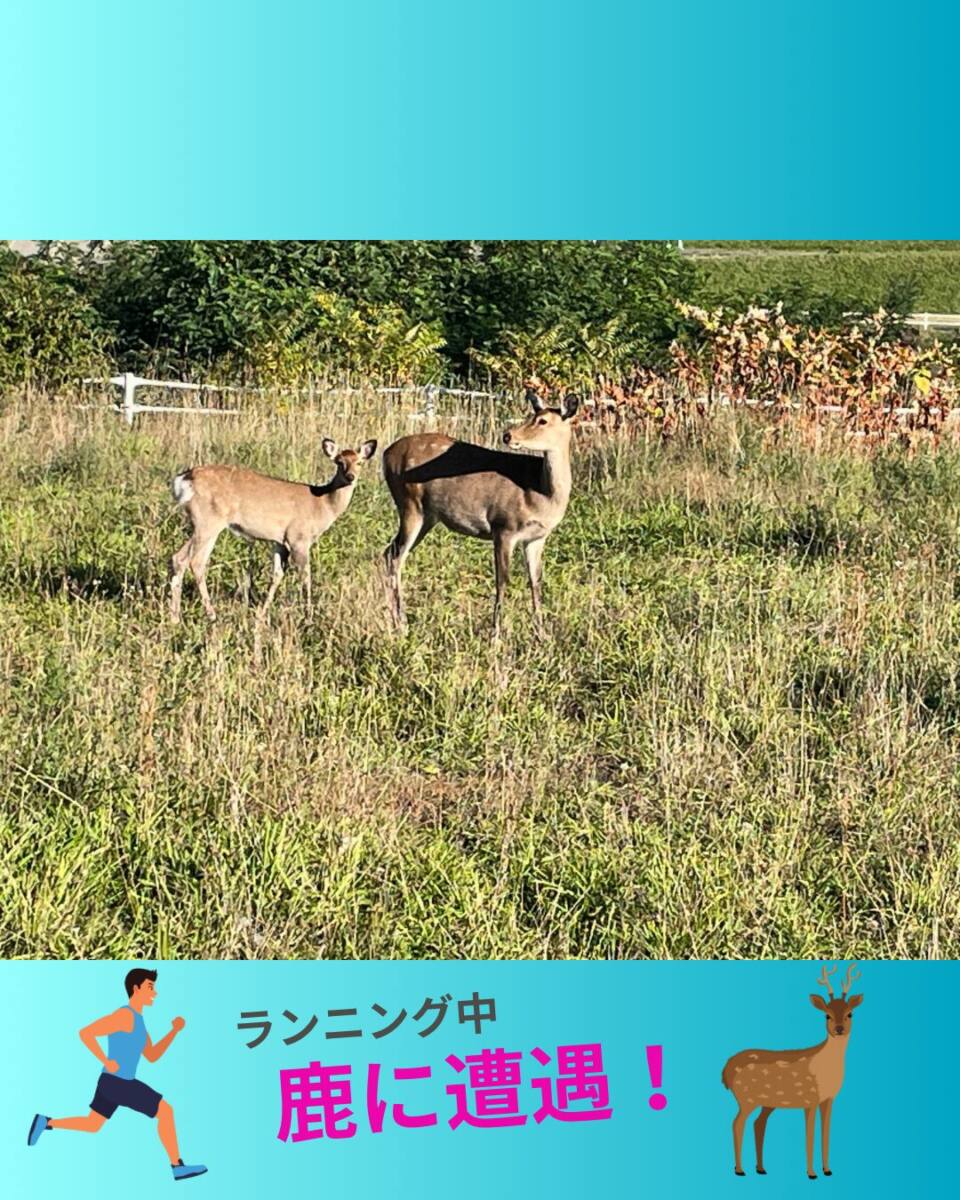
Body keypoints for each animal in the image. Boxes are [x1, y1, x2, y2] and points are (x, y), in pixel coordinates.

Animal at [168, 438, 377, 622]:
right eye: (340, 462)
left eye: (359, 462)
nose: (350, 477)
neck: (321, 505)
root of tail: (183, 480)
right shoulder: (298, 538)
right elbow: (306, 576)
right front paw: (309, 617)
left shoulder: (280, 541)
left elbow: (277, 575)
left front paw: (262, 613)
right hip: (207, 521)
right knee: (186, 559)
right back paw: (189, 617)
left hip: (207, 525)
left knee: (189, 561)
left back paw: (193, 616)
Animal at [381, 391, 579, 636]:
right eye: (531, 415)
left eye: (542, 421)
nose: (507, 435)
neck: (542, 494)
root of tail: (385, 455)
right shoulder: (503, 525)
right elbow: (502, 580)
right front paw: (496, 635)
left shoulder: (537, 537)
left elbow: (535, 581)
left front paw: (541, 635)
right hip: (410, 504)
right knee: (396, 556)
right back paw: (401, 623)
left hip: (427, 516)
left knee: (389, 552)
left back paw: (395, 619)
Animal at [722, 963, 863, 1180]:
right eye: (827, 1015)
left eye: (850, 1013)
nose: (839, 1029)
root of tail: (726, 1071)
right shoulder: (810, 1099)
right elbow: (810, 1134)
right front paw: (812, 1173)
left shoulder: (828, 1099)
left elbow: (826, 1132)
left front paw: (827, 1170)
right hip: (746, 1098)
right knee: (737, 1123)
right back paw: (740, 1169)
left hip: (767, 1102)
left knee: (758, 1123)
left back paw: (760, 1168)